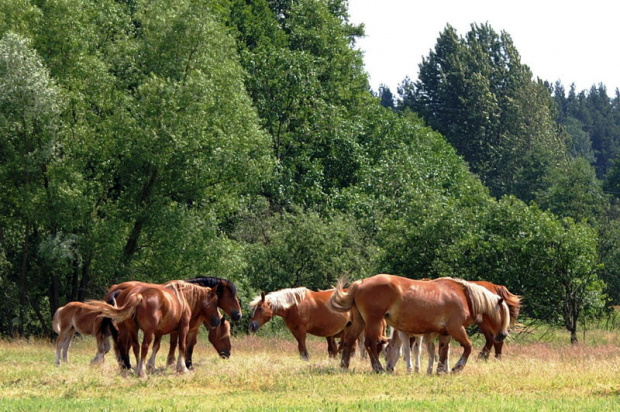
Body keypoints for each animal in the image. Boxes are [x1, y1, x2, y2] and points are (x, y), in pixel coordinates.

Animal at [88, 280, 219, 376]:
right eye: (215, 301)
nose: (217, 320)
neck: (182, 297)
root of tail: (138, 295)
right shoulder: (183, 328)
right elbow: (182, 346)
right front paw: (182, 368)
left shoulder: (159, 331)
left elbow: (156, 346)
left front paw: (151, 365)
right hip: (147, 331)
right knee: (143, 347)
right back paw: (140, 371)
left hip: (132, 329)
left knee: (134, 346)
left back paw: (136, 367)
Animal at [330, 274, 508, 374]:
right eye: (502, 314)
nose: (503, 335)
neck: (462, 295)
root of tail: (360, 283)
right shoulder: (456, 328)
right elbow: (468, 347)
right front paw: (457, 367)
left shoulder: (445, 332)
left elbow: (443, 351)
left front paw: (440, 370)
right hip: (374, 321)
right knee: (370, 344)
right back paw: (378, 368)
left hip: (360, 321)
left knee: (349, 340)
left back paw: (344, 365)